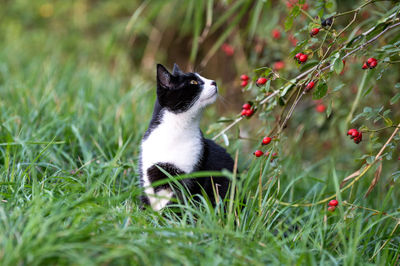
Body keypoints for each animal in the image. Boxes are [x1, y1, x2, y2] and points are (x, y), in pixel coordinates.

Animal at [139, 63, 234, 211]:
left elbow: (177, 205)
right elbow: (148, 199)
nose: (214, 82)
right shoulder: (147, 170)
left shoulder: (191, 175)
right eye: (193, 82)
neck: (174, 133)